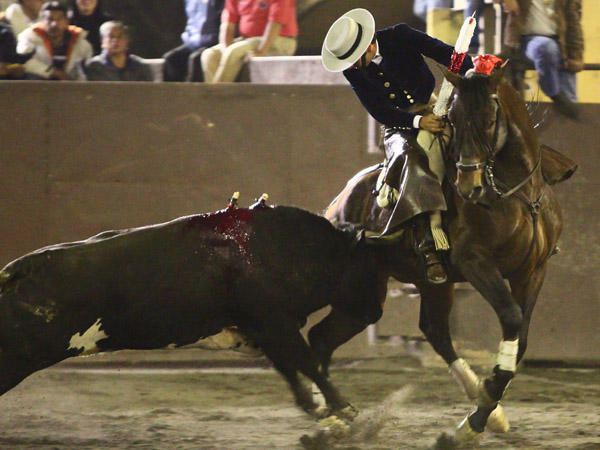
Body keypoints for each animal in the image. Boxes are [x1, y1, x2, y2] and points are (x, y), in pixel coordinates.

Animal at [0, 206, 382, 416]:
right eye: (366, 268)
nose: (376, 312)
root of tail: (21, 269)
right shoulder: (275, 324)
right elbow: (307, 364)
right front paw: (344, 408)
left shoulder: (263, 330)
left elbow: (291, 368)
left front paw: (315, 407)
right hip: (15, 359)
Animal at [312, 67, 576, 442]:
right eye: (453, 120)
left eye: (490, 120)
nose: (469, 187)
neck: (517, 194)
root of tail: (337, 206)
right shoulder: (476, 262)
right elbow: (510, 319)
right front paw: (477, 415)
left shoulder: (533, 270)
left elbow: (520, 337)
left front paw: (482, 412)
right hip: (363, 292)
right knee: (321, 339)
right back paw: (331, 415)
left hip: (411, 288)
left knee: (423, 331)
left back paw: (335, 415)